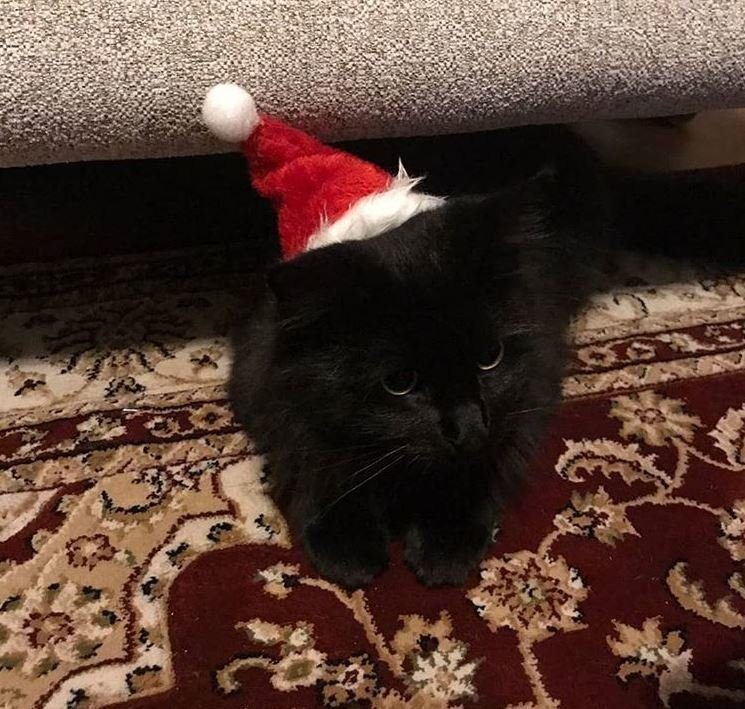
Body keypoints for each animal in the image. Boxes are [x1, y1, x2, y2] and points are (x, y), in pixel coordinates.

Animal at [230, 127, 745, 588]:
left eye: (490, 358)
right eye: (399, 382)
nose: (469, 426)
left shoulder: (529, 388)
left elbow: (481, 466)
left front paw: (444, 545)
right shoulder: (271, 393)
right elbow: (318, 462)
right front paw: (346, 546)